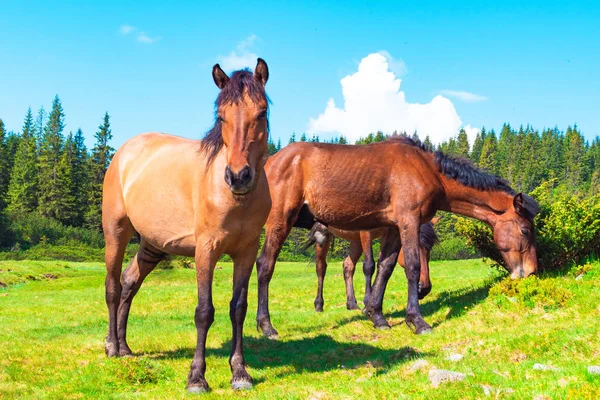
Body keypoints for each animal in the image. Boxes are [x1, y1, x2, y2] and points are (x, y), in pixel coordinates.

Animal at [103, 60, 272, 394]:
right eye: (221, 116)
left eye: (261, 112)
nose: (238, 176)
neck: (234, 197)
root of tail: (123, 152)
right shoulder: (206, 251)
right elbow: (204, 312)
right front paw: (196, 377)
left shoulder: (246, 252)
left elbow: (238, 308)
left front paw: (240, 372)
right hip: (115, 233)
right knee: (113, 286)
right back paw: (112, 346)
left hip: (151, 245)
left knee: (130, 282)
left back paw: (126, 347)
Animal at [308, 219, 438, 312]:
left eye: (430, 247)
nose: (425, 288)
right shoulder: (366, 232)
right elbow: (369, 266)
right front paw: (367, 301)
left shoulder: (386, 233)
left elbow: (382, 265)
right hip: (324, 235)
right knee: (321, 268)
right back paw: (318, 305)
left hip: (355, 238)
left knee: (348, 266)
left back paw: (352, 304)